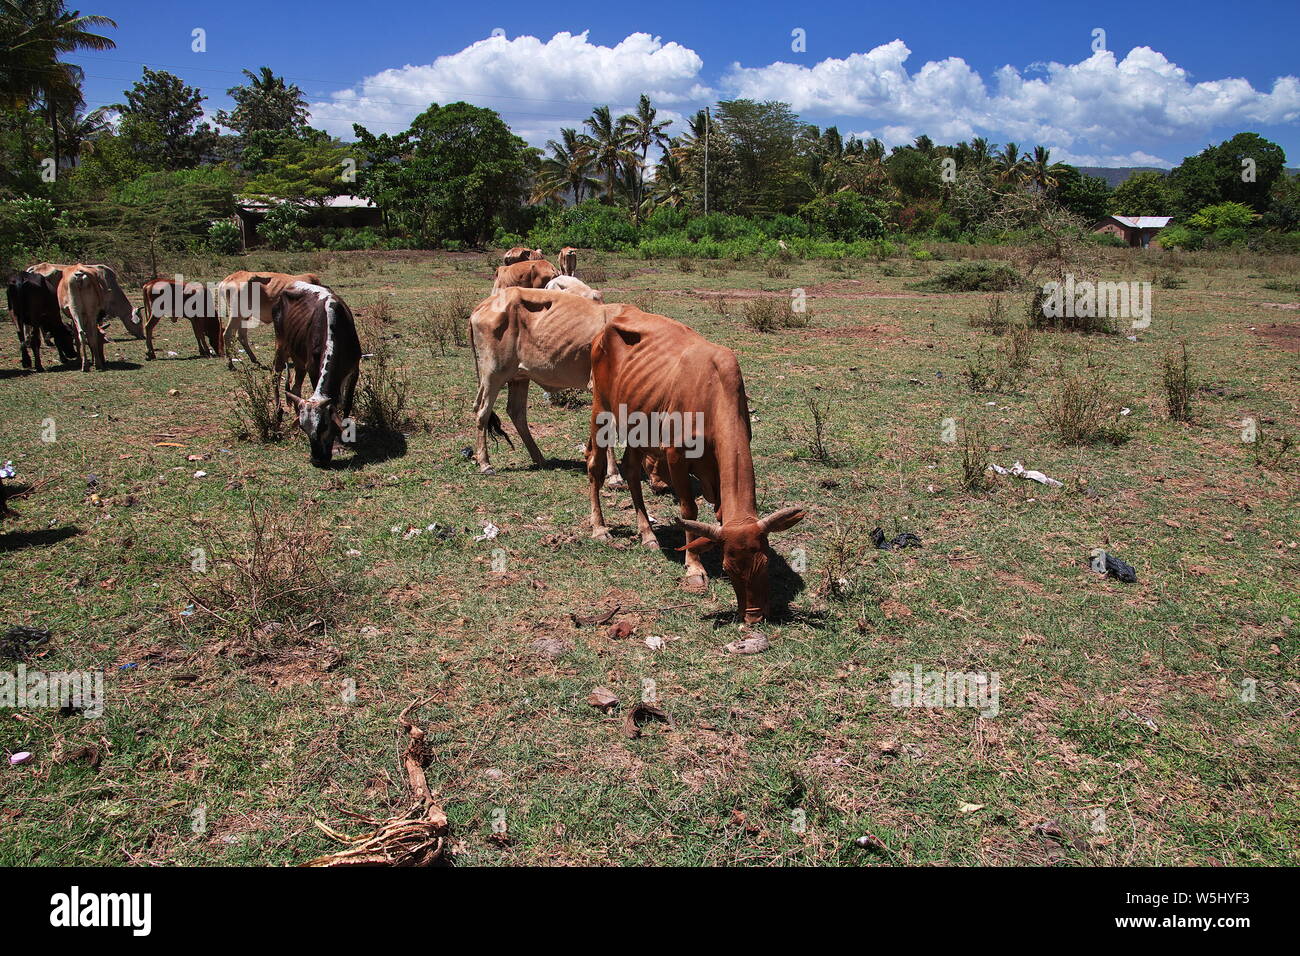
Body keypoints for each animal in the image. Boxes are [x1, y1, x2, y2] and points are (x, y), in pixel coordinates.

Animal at [271, 281, 361, 468]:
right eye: (304, 428)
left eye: (324, 426)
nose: (317, 460)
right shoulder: (313, 369)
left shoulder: (354, 369)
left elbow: (346, 404)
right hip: (281, 345)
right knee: (275, 375)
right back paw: (278, 411)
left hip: (298, 359)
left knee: (295, 388)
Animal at [469, 287, 625, 485]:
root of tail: (483, 305)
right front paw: (614, 474)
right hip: (493, 373)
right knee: (482, 412)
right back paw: (485, 464)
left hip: (519, 377)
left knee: (515, 412)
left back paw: (539, 458)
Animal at [586, 307, 806, 624]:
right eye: (728, 568)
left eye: (764, 563)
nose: (753, 616)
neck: (712, 393)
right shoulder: (675, 456)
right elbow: (688, 510)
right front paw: (694, 567)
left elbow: (721, 512)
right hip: (600, 409)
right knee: (594, 465)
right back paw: (600, 528)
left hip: (637, 423)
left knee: (631, 470)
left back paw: (647, 533)